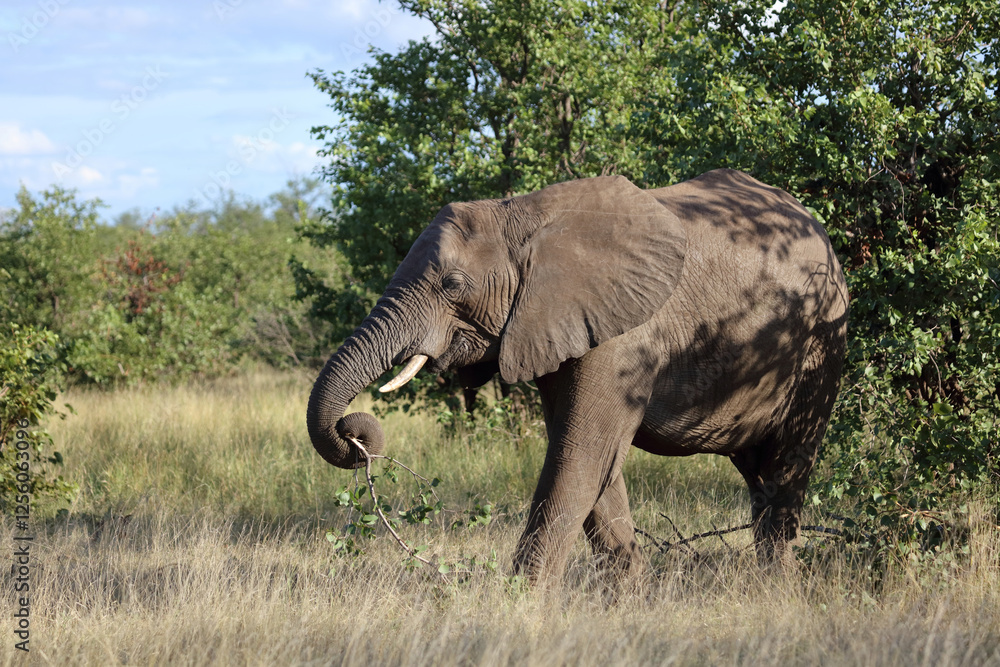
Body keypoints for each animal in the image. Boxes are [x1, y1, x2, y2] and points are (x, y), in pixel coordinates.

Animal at [307, 168, 849, 585]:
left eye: (452, 284)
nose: (355, 432)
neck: (523, 216)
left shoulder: (622, 336)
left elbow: (579, 458)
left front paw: (519, 605)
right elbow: (592, 465)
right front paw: (627, 599)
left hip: (823, 341)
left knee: (787, 466)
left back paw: (776, 588)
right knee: (759, 474)